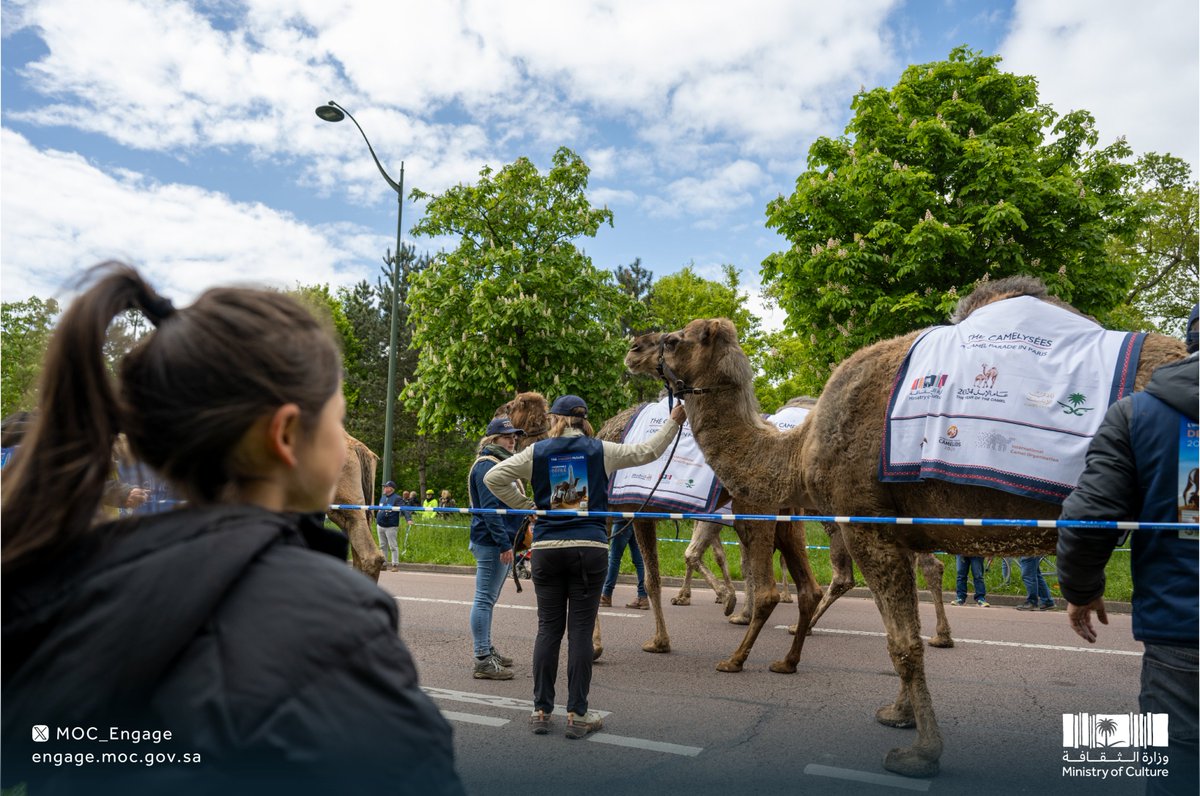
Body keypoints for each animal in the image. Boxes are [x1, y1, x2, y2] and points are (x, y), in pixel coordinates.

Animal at [652, 277, 1185, 773]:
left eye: (675, 340)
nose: (642, 349)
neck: (799, 449)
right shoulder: (898, 531)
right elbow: (904, 631)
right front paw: (899, 714)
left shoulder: (867, 525)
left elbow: (903, 643)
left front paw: (921, 752)